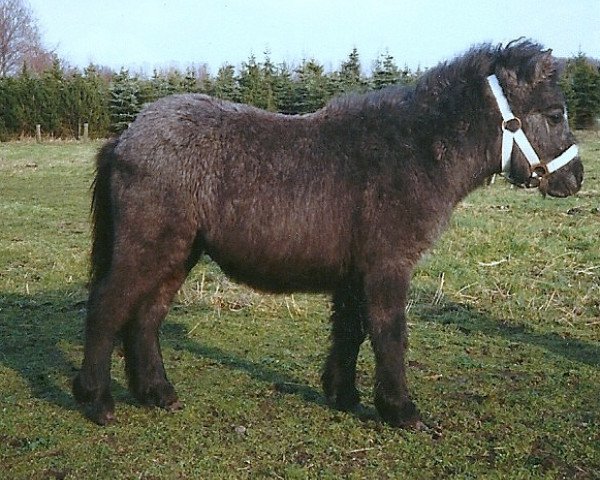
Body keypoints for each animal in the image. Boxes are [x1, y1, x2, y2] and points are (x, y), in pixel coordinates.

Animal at [72, 39, 584, 426]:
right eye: (555, 113)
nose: (576, 179)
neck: (413, 152)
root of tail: (127, 135)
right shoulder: (386, 267)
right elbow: (388, 332)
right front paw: (400, 410)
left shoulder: (356, 273)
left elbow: (351, 331)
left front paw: (344, 395)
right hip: (149, 249)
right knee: (107, 309)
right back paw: (96, 400)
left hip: (178, 254)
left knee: (145, 318)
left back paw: (156, 392)